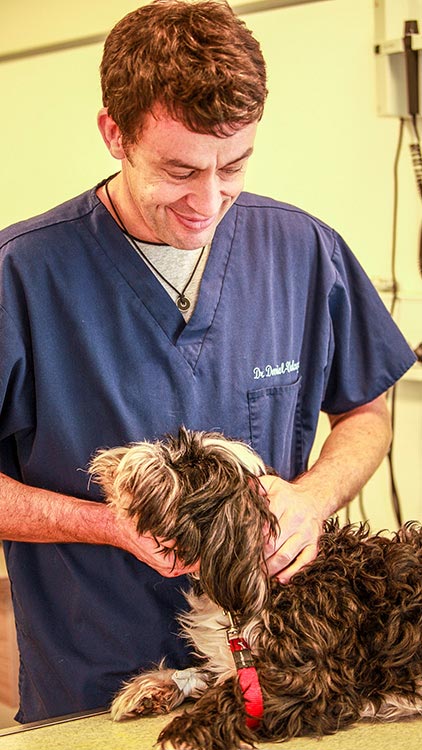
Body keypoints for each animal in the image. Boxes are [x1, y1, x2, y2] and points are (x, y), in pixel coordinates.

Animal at [89, 427, 422, 750]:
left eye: (193, 468)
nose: (128, 455)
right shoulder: (238, 658)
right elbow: (218, 674)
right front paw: (155, 687)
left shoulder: (312, 681)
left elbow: (233, 695)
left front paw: (182, 733)